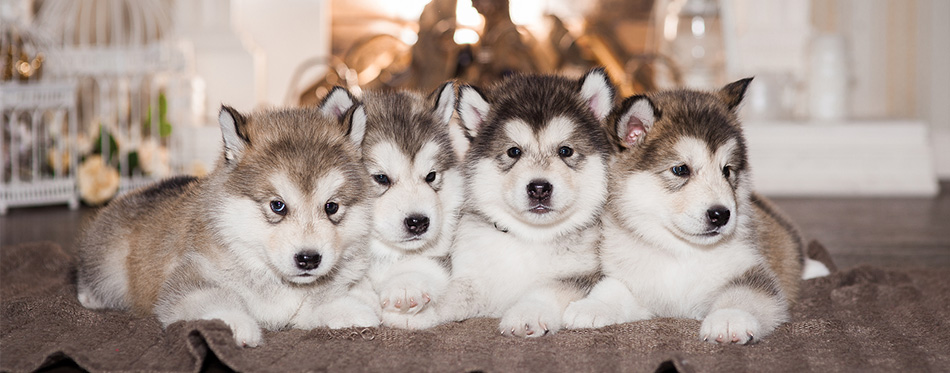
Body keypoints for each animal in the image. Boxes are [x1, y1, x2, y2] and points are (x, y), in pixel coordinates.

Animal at [76, 101, 380, 346]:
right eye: (277, 205)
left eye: (331, 206)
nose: (308, 259)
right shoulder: (188, 282)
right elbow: (216, 299)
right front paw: (238, 324)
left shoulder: (298, 306)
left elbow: (313, 306)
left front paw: (354, 312)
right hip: (110, 262)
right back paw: (90, 297)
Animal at [410, 68, 616, 336]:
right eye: (513, 152)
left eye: (566, 151)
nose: (539, 188)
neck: (531, 236)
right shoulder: (476, 276)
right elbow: (457, 291)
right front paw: (422, 310)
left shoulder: (587, 275)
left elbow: (551, 289)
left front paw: (528, 313)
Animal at [560, 78, 828, 342]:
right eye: (681, 169)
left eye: (727, 170)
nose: (721, 214)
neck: (681, 252)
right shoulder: (639, 285)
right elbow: (614, 288)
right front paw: (592, 307)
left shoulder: (751, 270)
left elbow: (744, 296)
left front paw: (729, 320)